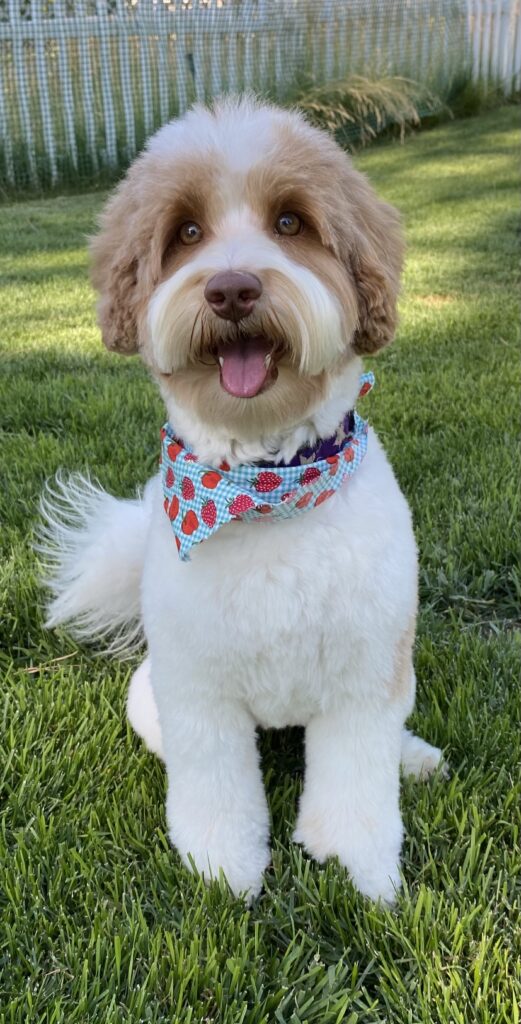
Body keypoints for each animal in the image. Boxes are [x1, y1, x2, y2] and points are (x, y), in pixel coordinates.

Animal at [42, 94, 444, 897]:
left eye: (290, 222)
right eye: (186, 233)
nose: (231, 289)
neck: (265, 488)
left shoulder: (365, 672)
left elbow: (359, 779)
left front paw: (358, 866)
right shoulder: (199, 690)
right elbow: (216, 788)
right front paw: (222, 868)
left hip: (401, 671)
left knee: (392, 736)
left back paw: (414, 757)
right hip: (148, 698)